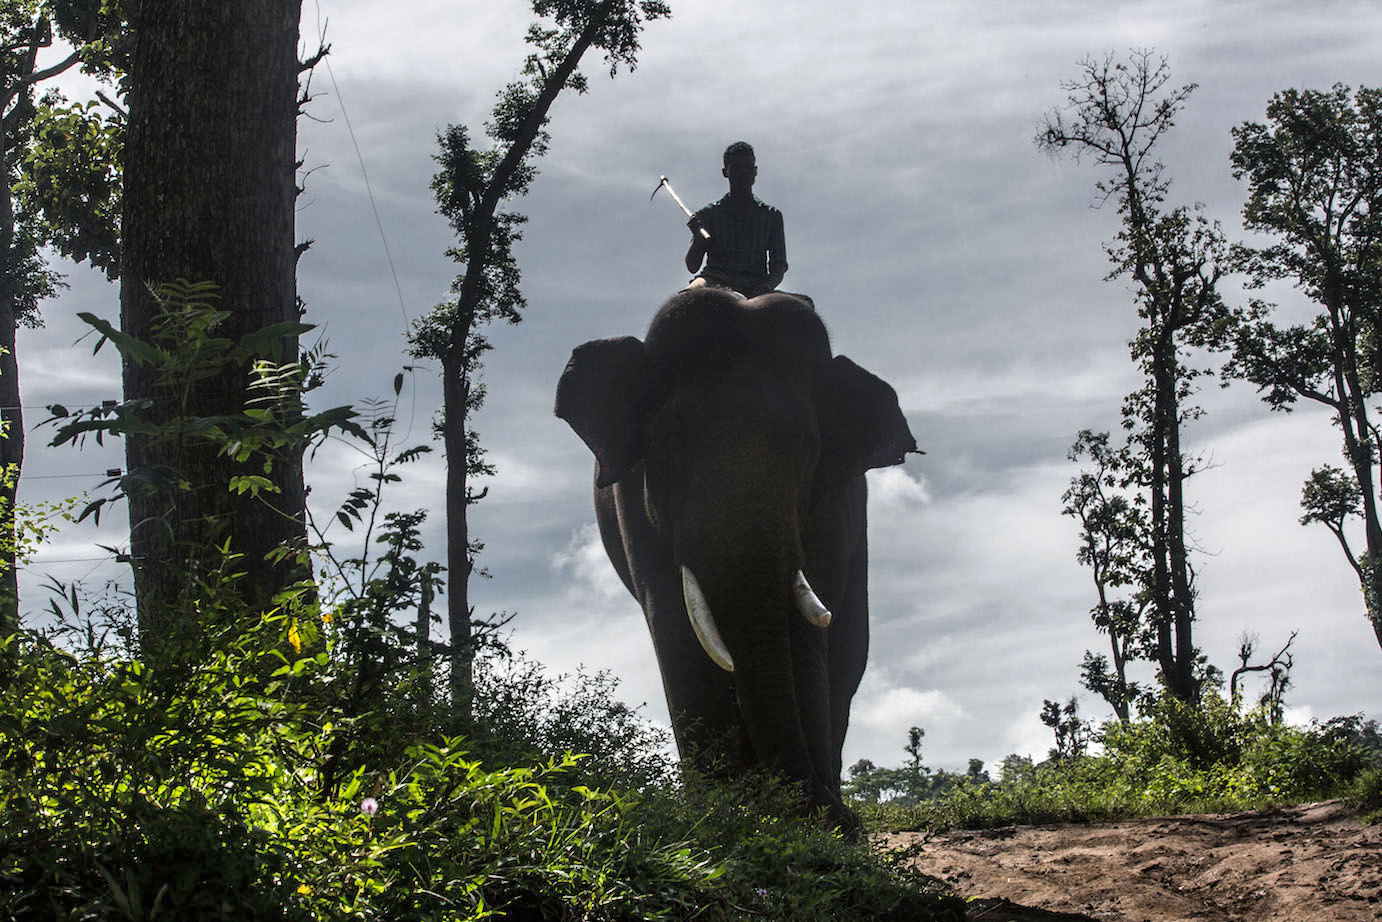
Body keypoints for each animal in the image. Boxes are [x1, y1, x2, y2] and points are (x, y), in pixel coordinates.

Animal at [550, 288, 917, 829]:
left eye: (807, 445)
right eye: (670, 439)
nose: (825, 812)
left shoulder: (832, 504)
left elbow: (807, 622)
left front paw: (825, 826)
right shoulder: (632, 503)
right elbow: (673, 623)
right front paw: (716, 816)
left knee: (849, 652)